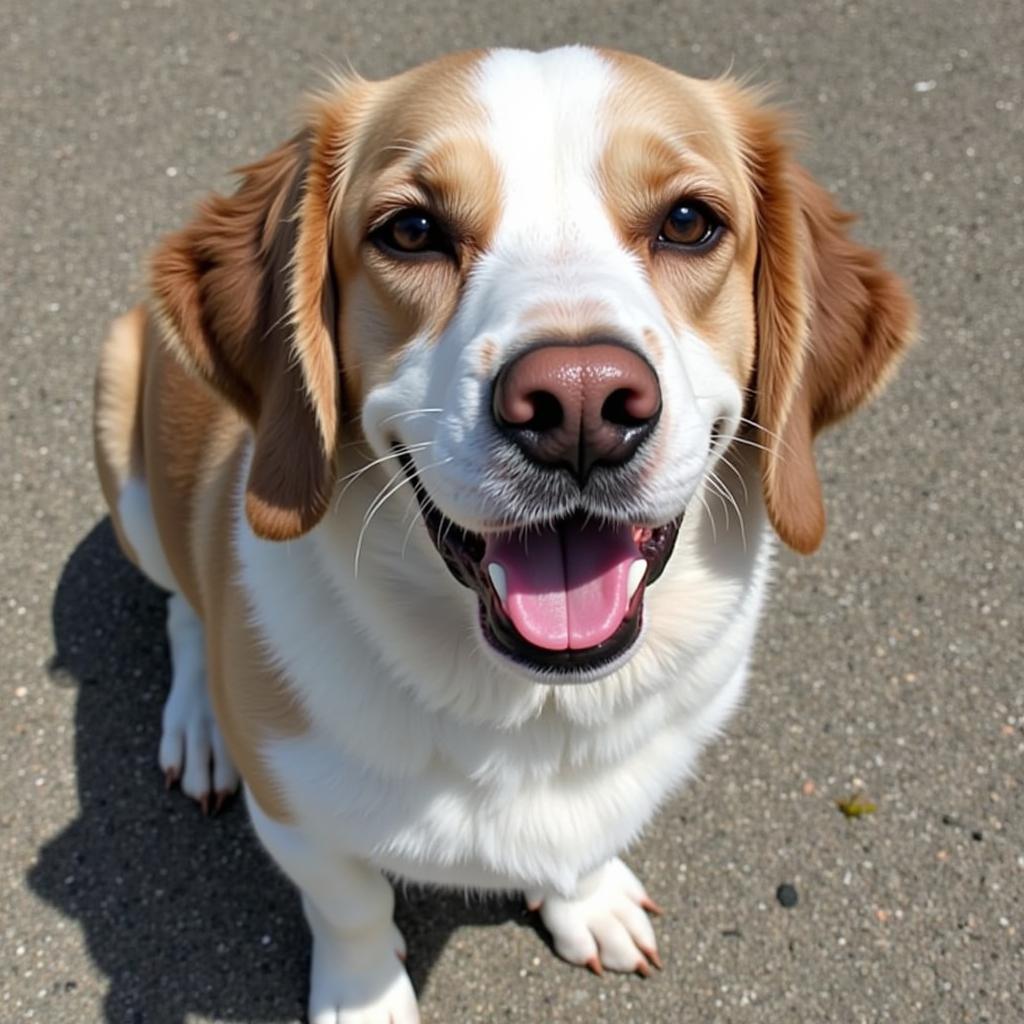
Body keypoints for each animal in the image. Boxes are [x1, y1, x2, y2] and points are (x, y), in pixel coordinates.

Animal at [92, 46, 917, 1024]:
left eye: (688, 222)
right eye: (411, 230)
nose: (580, 406)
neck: (530, 707)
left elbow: (587, 849)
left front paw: (586, 901)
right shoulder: (295, 814)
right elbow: (351, 907)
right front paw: (367, 1000)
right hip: (125, 443)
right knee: (180, 607)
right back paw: (199, 727)